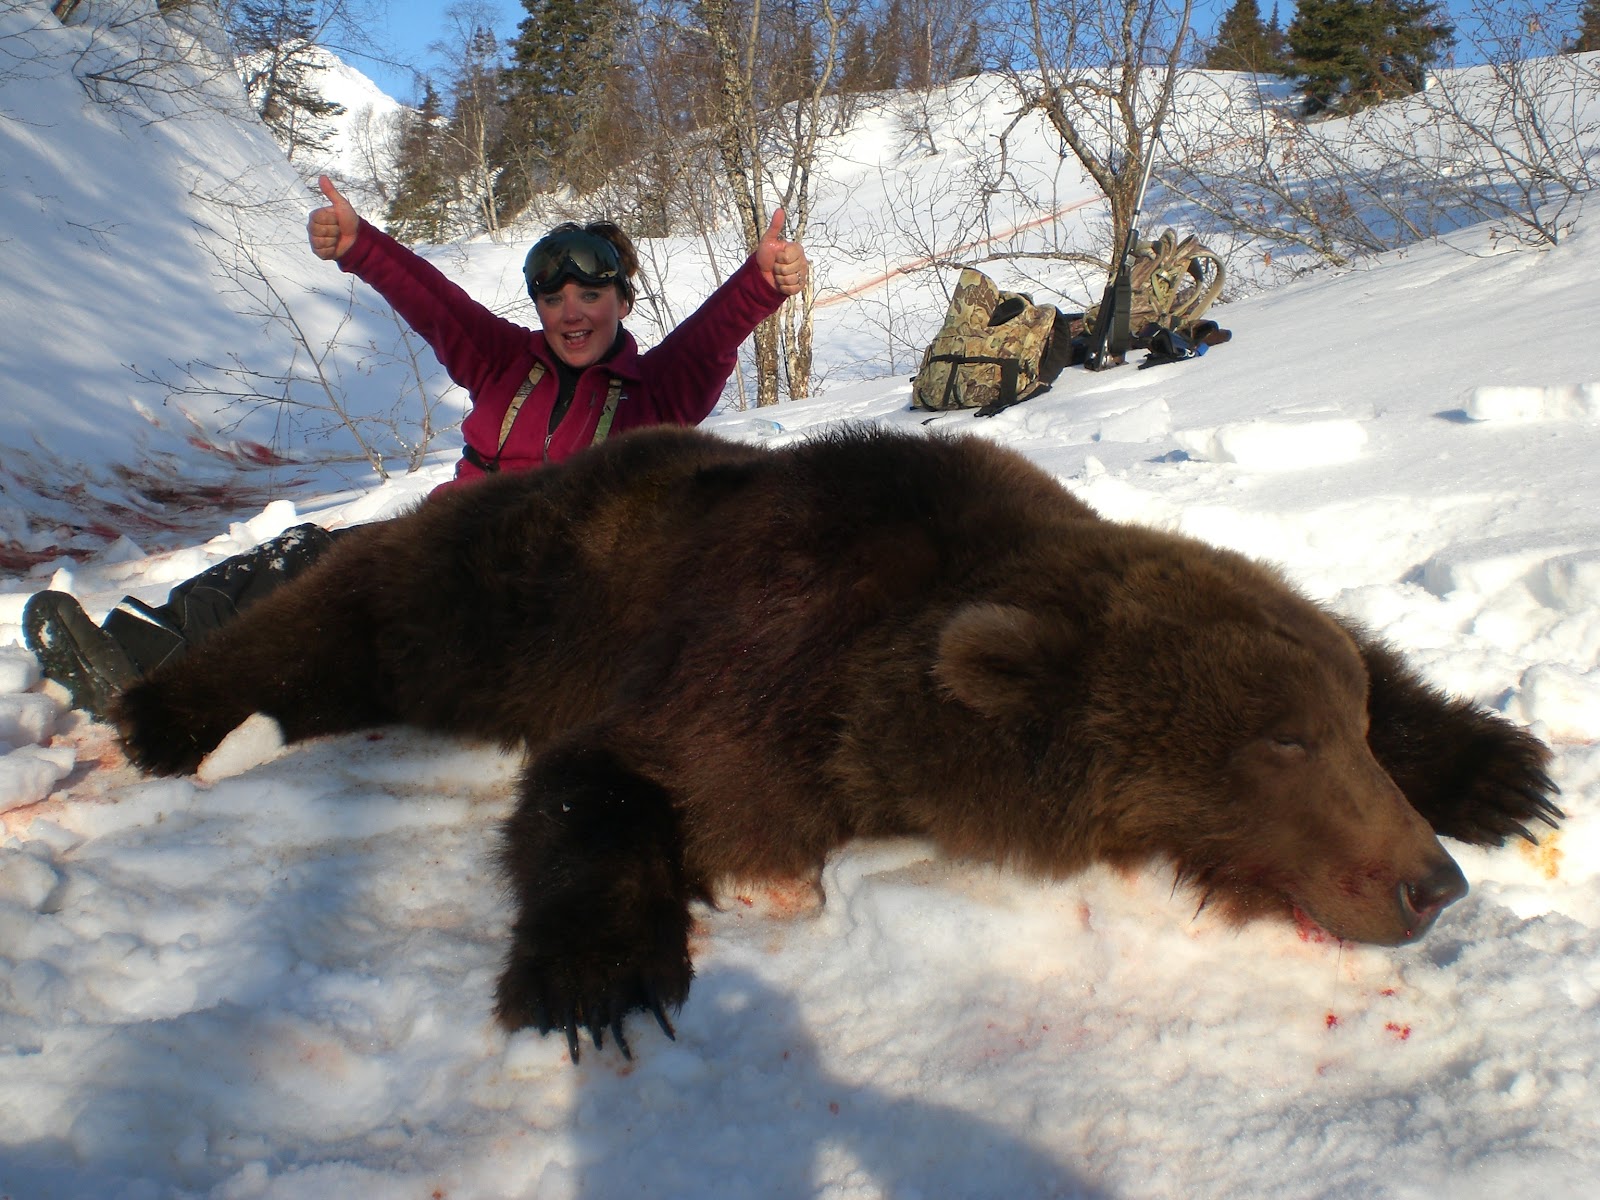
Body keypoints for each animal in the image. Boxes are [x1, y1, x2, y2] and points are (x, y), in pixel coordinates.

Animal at [113, 425, 1561, 1062]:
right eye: (1276, 745)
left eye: (1345, 731)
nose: (1428, 884)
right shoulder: (751, 683)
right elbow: (604, 786)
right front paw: (600, 977)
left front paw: (1505, 771)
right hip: (490, 591)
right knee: (339, 619)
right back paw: (154, 708)